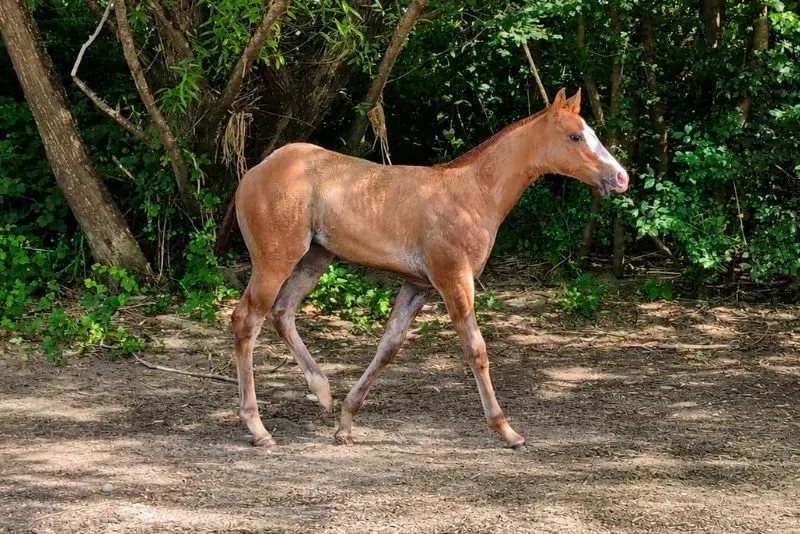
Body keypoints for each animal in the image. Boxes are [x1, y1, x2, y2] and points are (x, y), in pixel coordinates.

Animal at [214, 87, 629, 449]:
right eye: (576, 136)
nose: (621, 177)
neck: (473, 193)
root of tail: (252, 172)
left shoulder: (418, 285)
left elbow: (388, 346)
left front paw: (346, 422)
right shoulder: (454, 280)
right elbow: (476, 350)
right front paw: (507, 431)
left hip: (315, 257)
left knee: (283, 312)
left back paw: (323, 394)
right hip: (276, 259)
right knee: (247, 319)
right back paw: (258, 428)